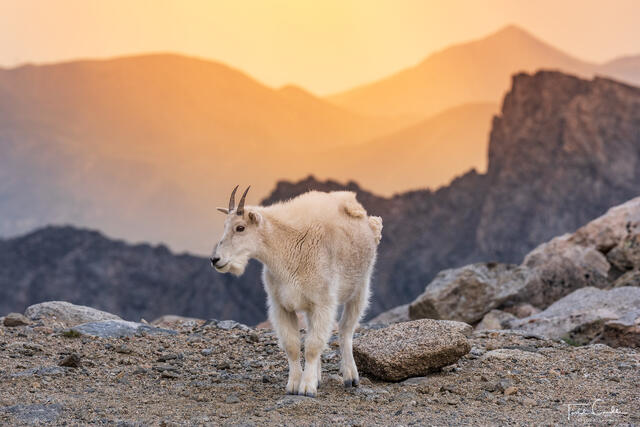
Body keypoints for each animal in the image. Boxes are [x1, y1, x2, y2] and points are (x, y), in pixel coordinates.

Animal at [211, 186, 382, 397]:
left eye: (240, 227)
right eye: (225, 225)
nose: (216, 260)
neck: (287, 246)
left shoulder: (324, 303)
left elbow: (312, 346)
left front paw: (307, 387)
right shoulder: (281, 306)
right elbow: (293, 345)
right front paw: (294, 385)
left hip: (360, 288)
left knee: (345, 330)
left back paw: (350, 377)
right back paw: (319, 378)